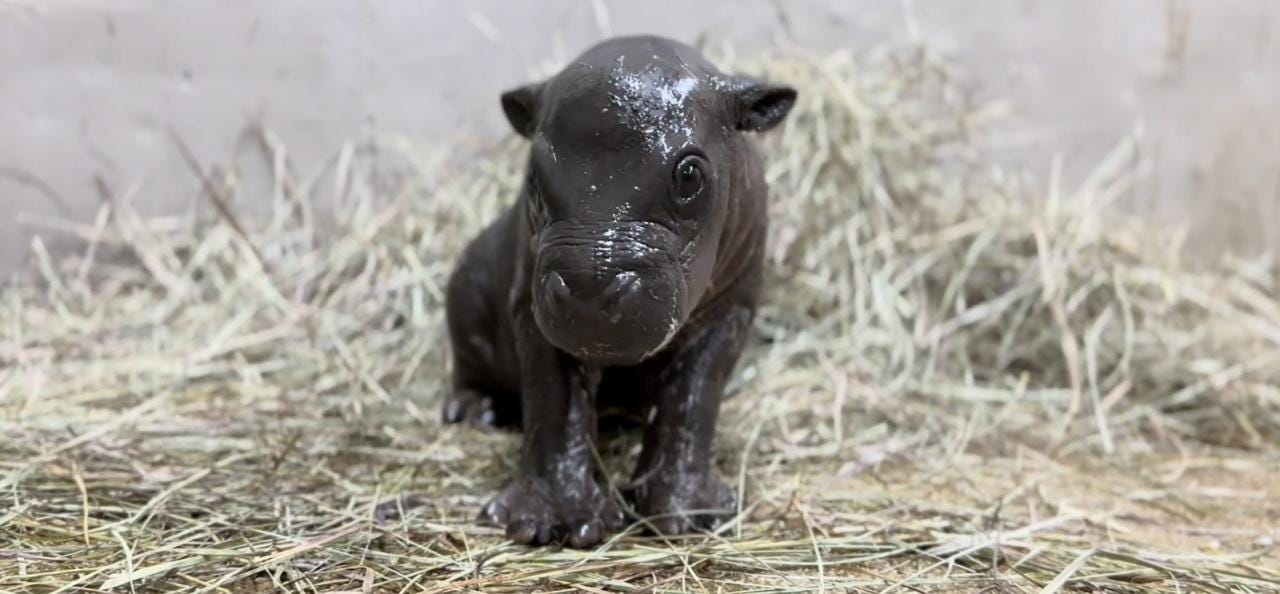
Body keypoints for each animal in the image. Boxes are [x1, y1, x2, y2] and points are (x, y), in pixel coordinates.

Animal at [443, 35, 795, 548]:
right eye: (533, 175)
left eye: (690, 175)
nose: (591, 288)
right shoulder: (533, 312)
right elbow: (555, 404)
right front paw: (555, 526)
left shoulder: (730, 312)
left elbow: (693, 399)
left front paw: (687, 518)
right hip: (466, 287)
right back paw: (476, 412)